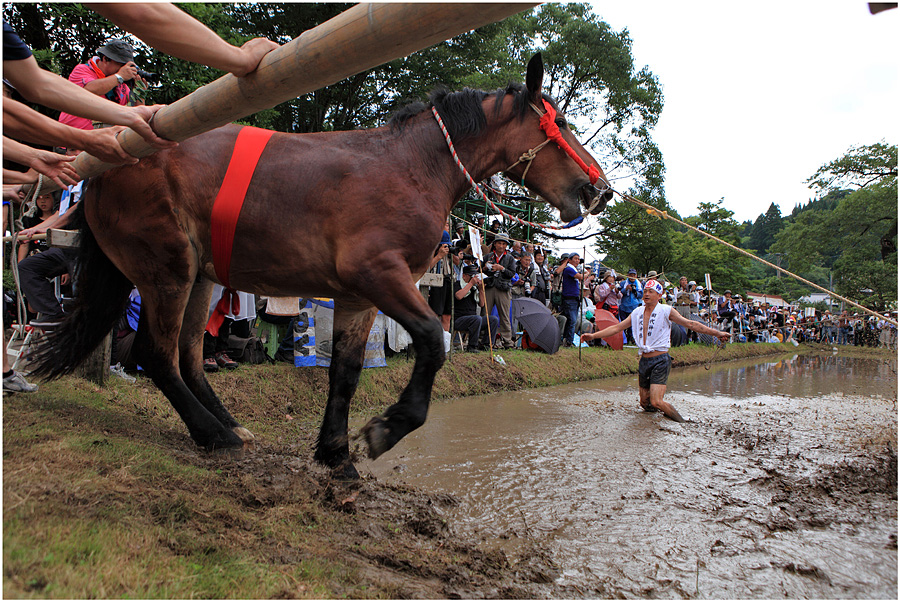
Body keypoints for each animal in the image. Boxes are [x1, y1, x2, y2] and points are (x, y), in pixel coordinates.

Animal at [35, 56, 612, 478]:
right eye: (560, 122)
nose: (600, 189)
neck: (411, 168)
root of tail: (106, 162)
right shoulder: (380, 275)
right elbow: (431, 340)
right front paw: (386, 428)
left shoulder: (357, 296)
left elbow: (346, 372)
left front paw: (335, 452)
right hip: (167, 269)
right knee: (156, 355)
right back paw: (213, 434)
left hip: (200, 275)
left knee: (188, 357)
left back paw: (228, 425)